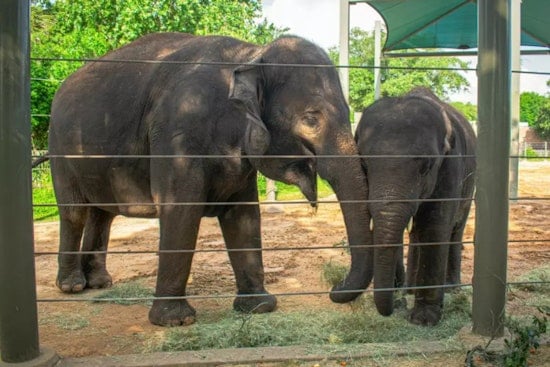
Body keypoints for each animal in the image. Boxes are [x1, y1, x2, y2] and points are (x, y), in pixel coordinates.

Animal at [49, 33, 374, 326]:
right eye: (311, 119)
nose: (334, 289)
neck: (250, 55)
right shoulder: (178, 135)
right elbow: (181, 211)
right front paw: (175, 321)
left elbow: (243, 216)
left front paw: (259, 307)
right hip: (61, 152)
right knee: (75, 213)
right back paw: (72, 286)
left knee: (102, 215)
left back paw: (99, 283)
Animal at [332, 87, 478, 326]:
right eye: (363, 164)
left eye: (426, 166)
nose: (334, 289)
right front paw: (401, 299)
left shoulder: (451, 166)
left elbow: (435, 227)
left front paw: (424, 319)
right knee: (416, 233)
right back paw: (410, 289)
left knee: (455, 229)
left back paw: (452, 288)